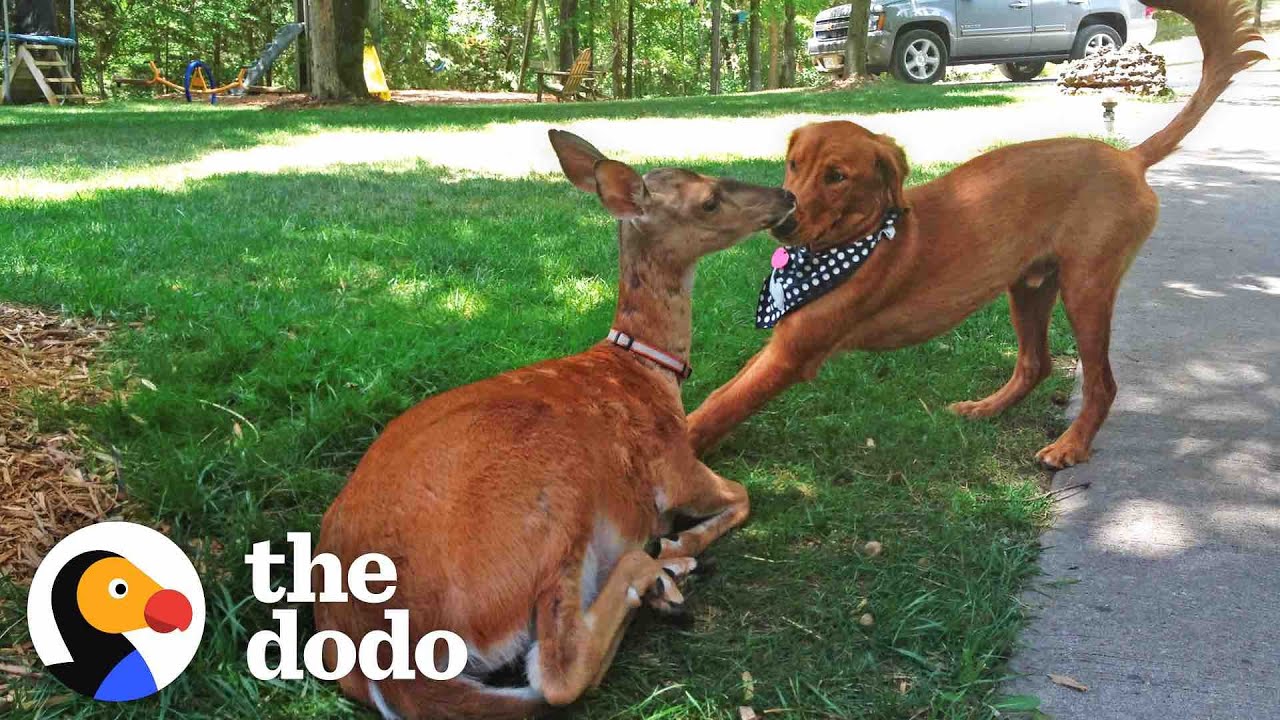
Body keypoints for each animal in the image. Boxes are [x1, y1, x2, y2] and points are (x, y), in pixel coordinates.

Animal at [312, 130, 788, 717]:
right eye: (709, 200)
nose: (787, 195)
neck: (649, 372)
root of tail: (385, 656)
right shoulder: (676, 467)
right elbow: (744, 495)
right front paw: (680, 546)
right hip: (557, 506)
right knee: (556, 672)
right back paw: (657, 573)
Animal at [691, 0, 1259, 468]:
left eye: (837, 176)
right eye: (794, 164)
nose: (782, 223)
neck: (857, 240)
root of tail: (1128, 157)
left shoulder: (792, 352)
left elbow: (715, 407)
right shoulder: (783, 342)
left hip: (1086, 288)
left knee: (1102, 383)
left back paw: (1071, 446)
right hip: (1028, 286)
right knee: (1035, 363)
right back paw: (987, 409)